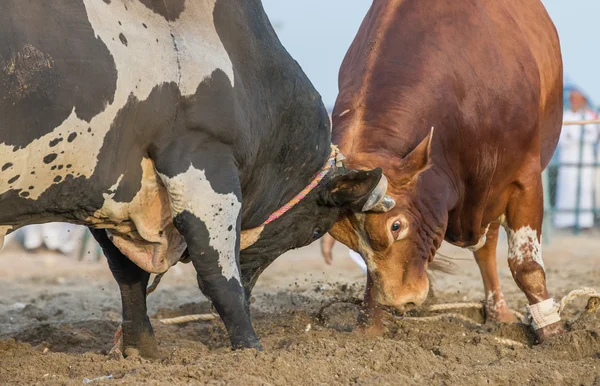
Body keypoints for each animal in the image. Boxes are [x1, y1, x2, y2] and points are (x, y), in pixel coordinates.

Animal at [0, 0, 394, 356]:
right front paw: (251, 351)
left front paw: (144, 352)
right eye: (313, 232)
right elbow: (219, 273)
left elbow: (129, 275)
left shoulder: (113, 193)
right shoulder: (203, 162)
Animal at [324, 0, 564, 340]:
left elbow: (526, 266)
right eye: (347, 240)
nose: (402, 300)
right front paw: (368, 328)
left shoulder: (523, 180)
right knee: (485, 248)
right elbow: (373, 274)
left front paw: (553, 333)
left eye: (395, 226)